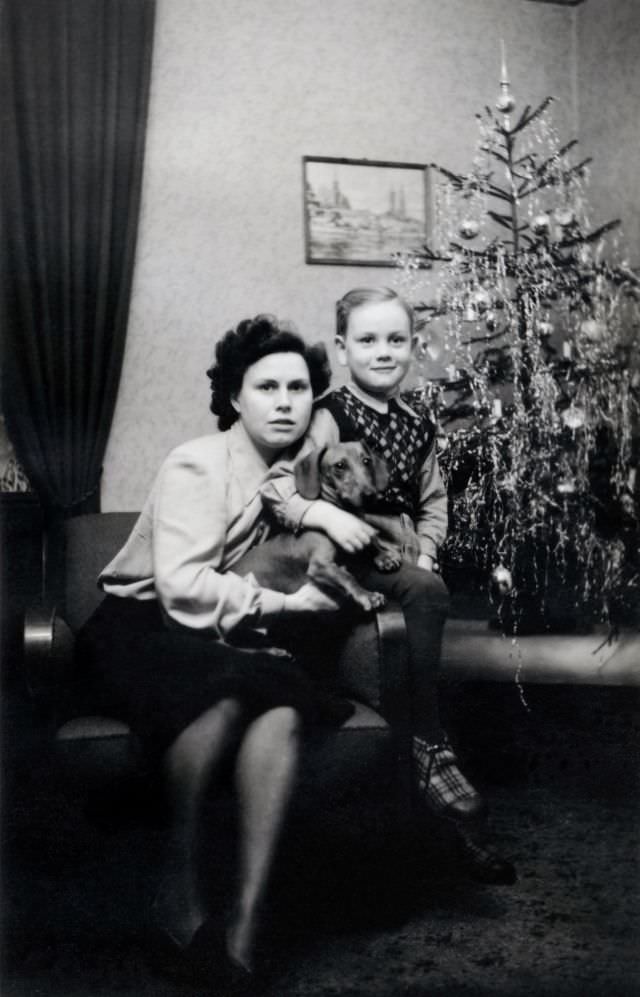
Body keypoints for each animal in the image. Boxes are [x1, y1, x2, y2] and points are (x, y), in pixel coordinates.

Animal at [232, 440, 402, 612]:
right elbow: (347, 576)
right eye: (339, 465)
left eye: (366, 461)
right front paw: (367, 595)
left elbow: (370, 540)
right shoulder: (320, 564)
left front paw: (384, 555)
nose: (370, 495)